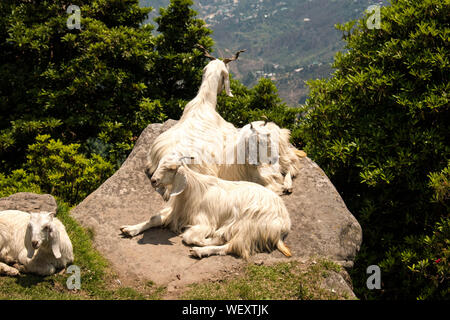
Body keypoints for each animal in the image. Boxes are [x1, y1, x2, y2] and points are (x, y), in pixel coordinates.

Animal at [121, 156, 294, 260]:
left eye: (171, 168)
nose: (154, 181)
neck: (192, 190)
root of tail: (285, 223)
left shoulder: (204, 221)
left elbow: (189, 237)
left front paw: (204, 241)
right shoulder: (176, 213)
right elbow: (154, 219)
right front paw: (130, 229)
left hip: (250, 224)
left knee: (232, 246)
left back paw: (201, 250)